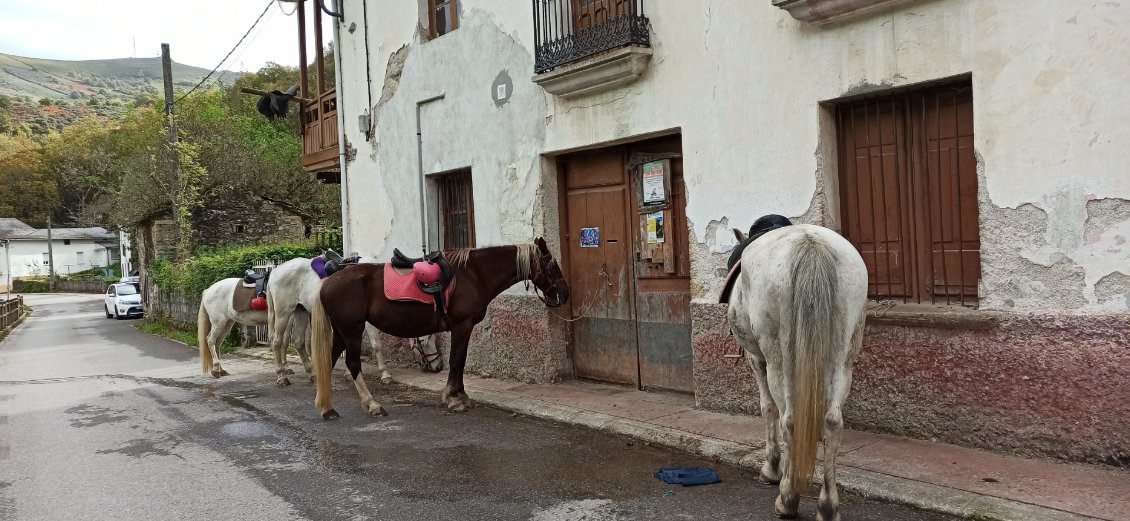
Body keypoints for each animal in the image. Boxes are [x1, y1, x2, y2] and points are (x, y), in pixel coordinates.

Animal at [264, 255, 440, 386]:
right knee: (278, 341)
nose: (439, 367)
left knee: (298, 341)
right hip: (284, 312)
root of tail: (275, 271)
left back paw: (312, 373)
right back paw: (282, 376)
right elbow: (376, 345)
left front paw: (349, 374)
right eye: (424, 341)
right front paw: (385, 374)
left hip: (300, 311)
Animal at [309, 239, 569, 418]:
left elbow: (459, 361)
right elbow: (456, 360)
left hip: (341, 332)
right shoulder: (462, 326)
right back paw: (373, 405)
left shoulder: (464, 328)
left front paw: (461, 396)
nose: (565, 294)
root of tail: (328, 281)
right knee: (352, 364)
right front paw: (454, 398)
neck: (474, 274)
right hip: (351, 330)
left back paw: (327, 409)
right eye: (553, 266)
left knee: (329, 360)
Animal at [723, 215, 863, 519]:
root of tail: (811, 246)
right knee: (833, 421)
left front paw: (771, 468)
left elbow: (768, 408)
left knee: (790, 419)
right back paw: (827, 506)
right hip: (843, 353)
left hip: (778, 358)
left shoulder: (757, 359)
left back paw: (787, 498)